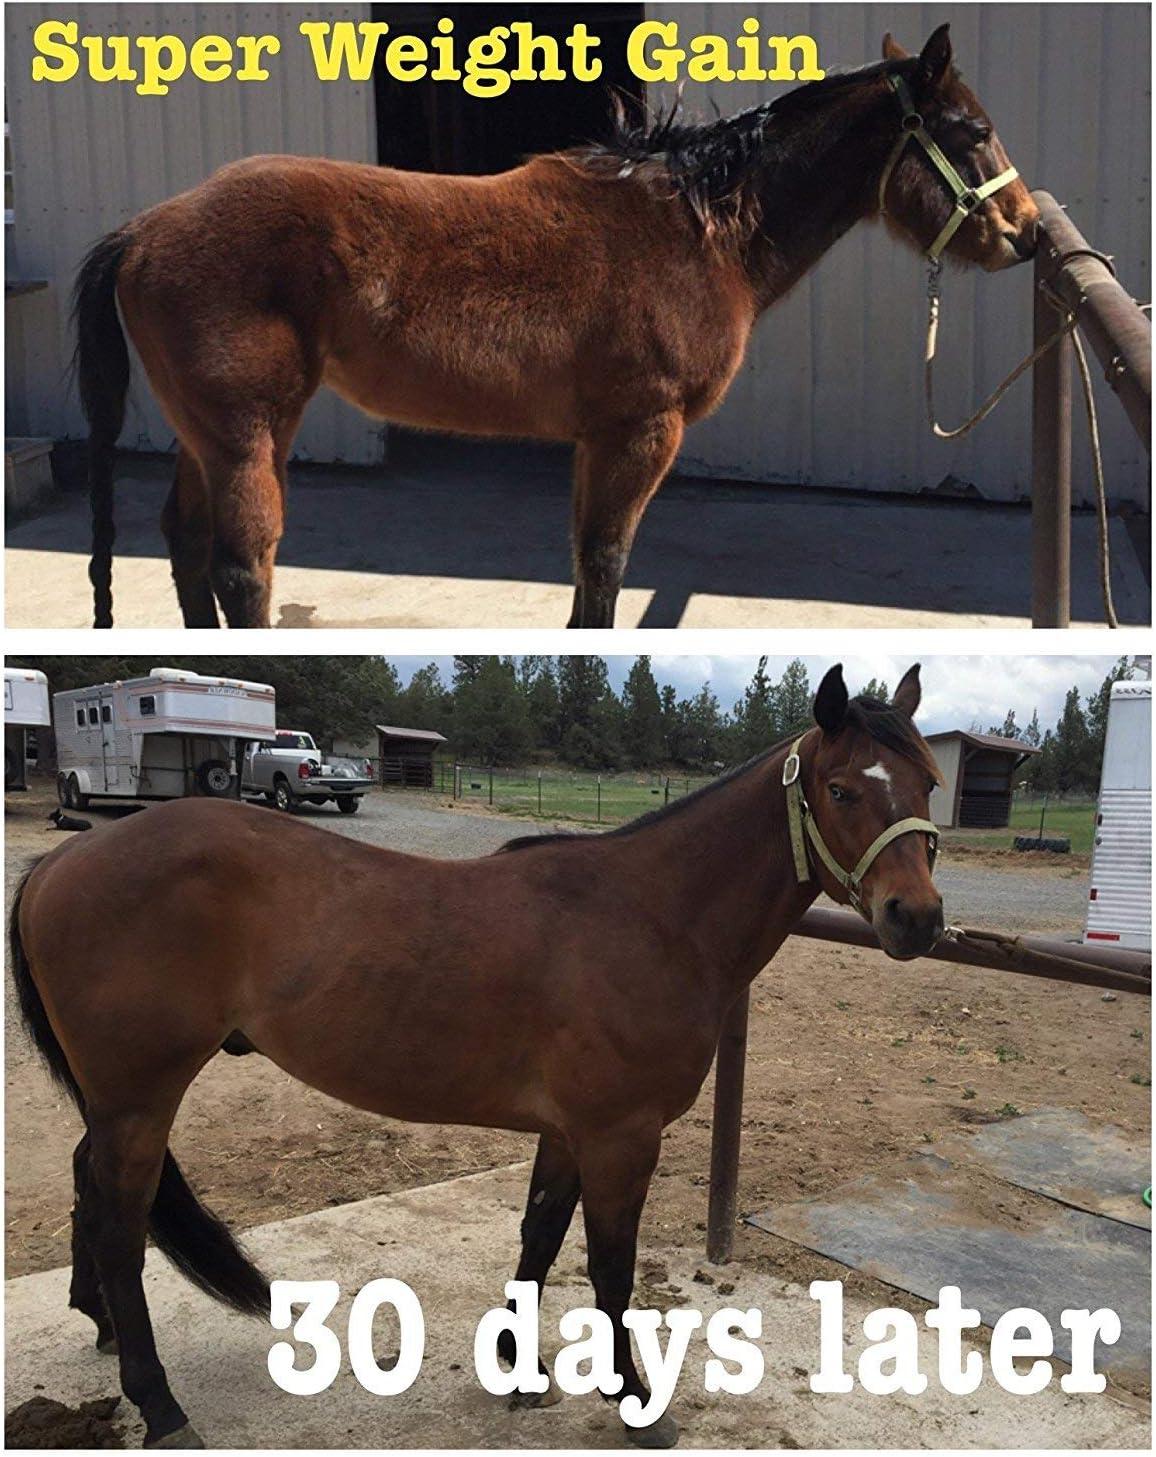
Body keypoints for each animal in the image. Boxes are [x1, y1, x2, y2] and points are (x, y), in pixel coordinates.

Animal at [10, 663, 943, 1449]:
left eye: (929, 781)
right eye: (839, 788)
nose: (918, 917)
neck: (652, 917)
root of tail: (63, 856)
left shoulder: (569, 1132)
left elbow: (539, 1235)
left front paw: (519, 1367)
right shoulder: (620, 1136)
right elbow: (609, 1269)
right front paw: (636, 1400)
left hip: (117, 1099)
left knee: (89, 1186)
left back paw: (99, 1324)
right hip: (141, 1095)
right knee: (121, 1223)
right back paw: (160, 1404)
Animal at [72, 25, 1038, 630]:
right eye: (972, 130)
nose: (1025, 233)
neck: (698, 227)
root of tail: (145, 230)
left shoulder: (597, 437)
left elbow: (584, 568)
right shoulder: (641, 430)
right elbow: (606, 567)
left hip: (206, 437)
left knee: (186, 542)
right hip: (248, 435)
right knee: (242, 566)